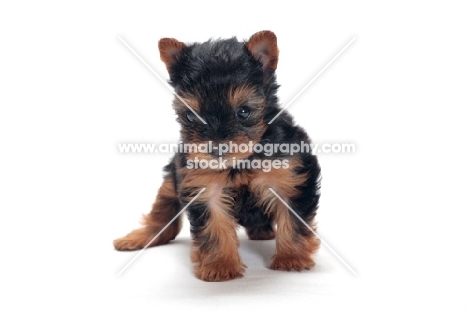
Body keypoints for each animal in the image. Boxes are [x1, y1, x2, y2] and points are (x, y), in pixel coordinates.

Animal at [115, 30, 324, 282]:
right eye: (191, 116)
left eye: (243, 111)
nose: (216, 149)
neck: (244, 160)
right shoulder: (203, 186)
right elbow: (214, 226)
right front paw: (220, 266)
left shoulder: (291, 177)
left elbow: (292, 221)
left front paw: (291, 258)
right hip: (171, 178)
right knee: (161, 210)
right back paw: (140, 237)